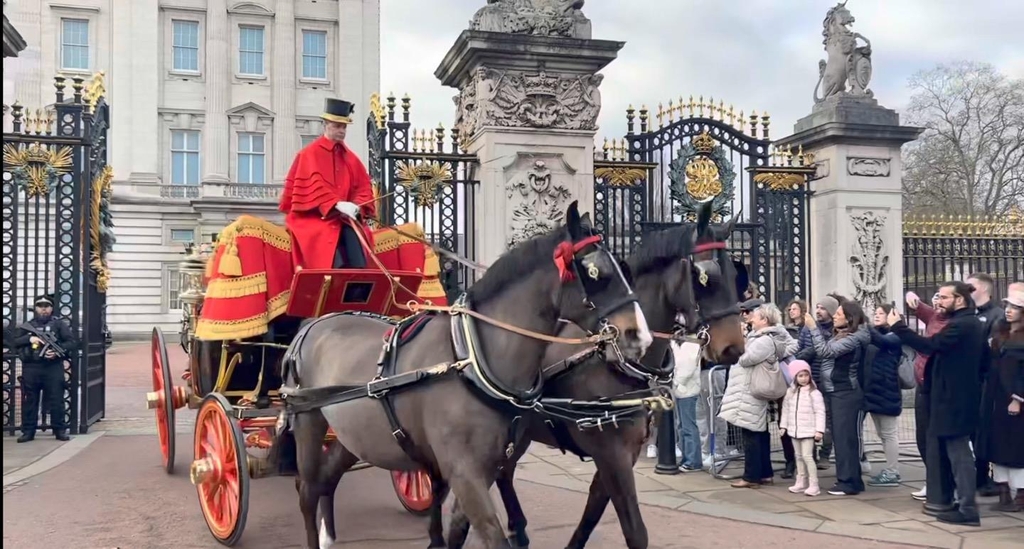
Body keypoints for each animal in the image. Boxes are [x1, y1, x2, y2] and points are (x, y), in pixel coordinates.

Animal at [280, 202, 651, 549]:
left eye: (625, 269)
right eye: (595, 271)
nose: (640, 337)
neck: (471, 362)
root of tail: (314, 322)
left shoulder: (485, 469)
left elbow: (458, 529)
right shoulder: (465, 472)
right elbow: (491, 534)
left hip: (353, 434)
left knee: (327, 479)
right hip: (309, 421)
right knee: (307, 489)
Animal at [440, 201, 745, 549]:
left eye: (734, 273)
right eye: (705, 276)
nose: (733, 348)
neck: (616, 365)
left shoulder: (622, 454)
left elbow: (592, 514)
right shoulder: (611, 453)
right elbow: (634, 530)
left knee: (503, 473)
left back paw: (517, 528)